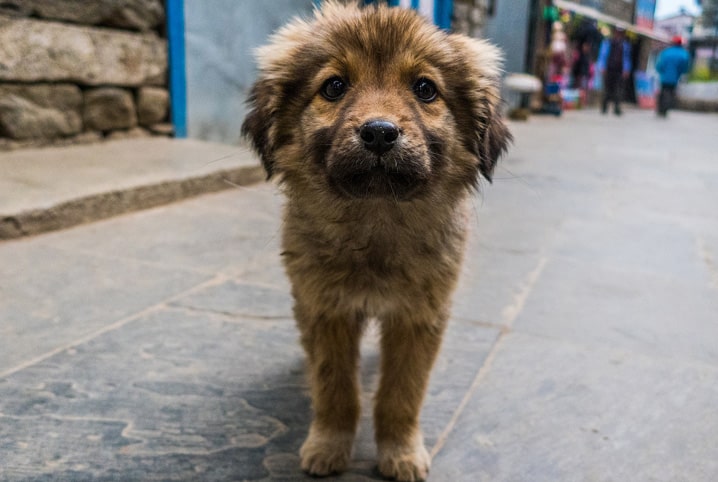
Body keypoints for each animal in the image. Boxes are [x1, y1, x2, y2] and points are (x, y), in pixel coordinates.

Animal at [243, 2, 512, 478]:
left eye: (425, 89)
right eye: (334, 86)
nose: (380, 133)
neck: (376, 222)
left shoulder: (419, 316)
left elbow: (401, 395)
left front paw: (400, 452)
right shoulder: (325, 308)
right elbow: (335, 389)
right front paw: (329, 445)